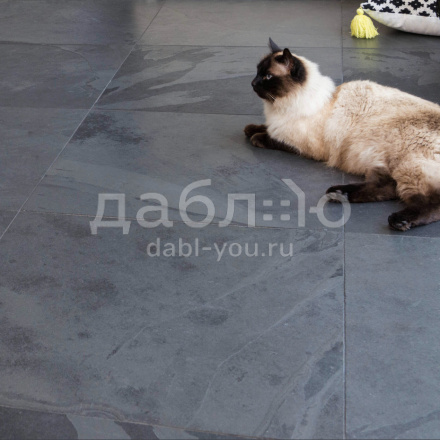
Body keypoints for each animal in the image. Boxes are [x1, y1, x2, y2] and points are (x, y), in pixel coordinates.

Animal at [245, 38, 440, 231]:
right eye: (257, 72)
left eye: (267, 77)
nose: (252, 83)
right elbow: (262, 127)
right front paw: (250, 129)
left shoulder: (301, 144)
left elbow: (272, 137)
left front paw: (256, 137)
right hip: (380, 163)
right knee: (388, 186)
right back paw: (338, 193)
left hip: (408, 167)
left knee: (430, 201)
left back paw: (398, 221)